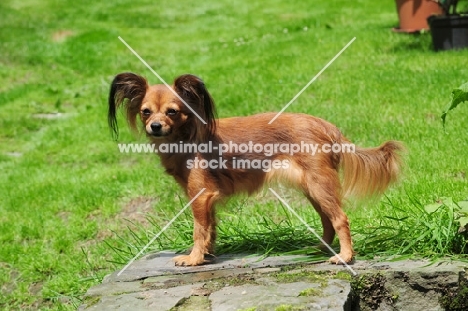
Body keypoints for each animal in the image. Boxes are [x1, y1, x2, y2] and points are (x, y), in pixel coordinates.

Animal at [109, 72, 402, 266]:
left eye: (172, 112)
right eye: (146, 112)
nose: (155, 127)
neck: (186, 137)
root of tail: (326, 126)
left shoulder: (200, 195)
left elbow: (199, 229)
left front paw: (193, 258)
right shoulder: (208, 198)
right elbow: (211, 228)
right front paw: (208, 255)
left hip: (320, 186)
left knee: (340, 218)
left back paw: (345, 256)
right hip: (313, 189)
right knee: (327, 220)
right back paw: (322, 248)